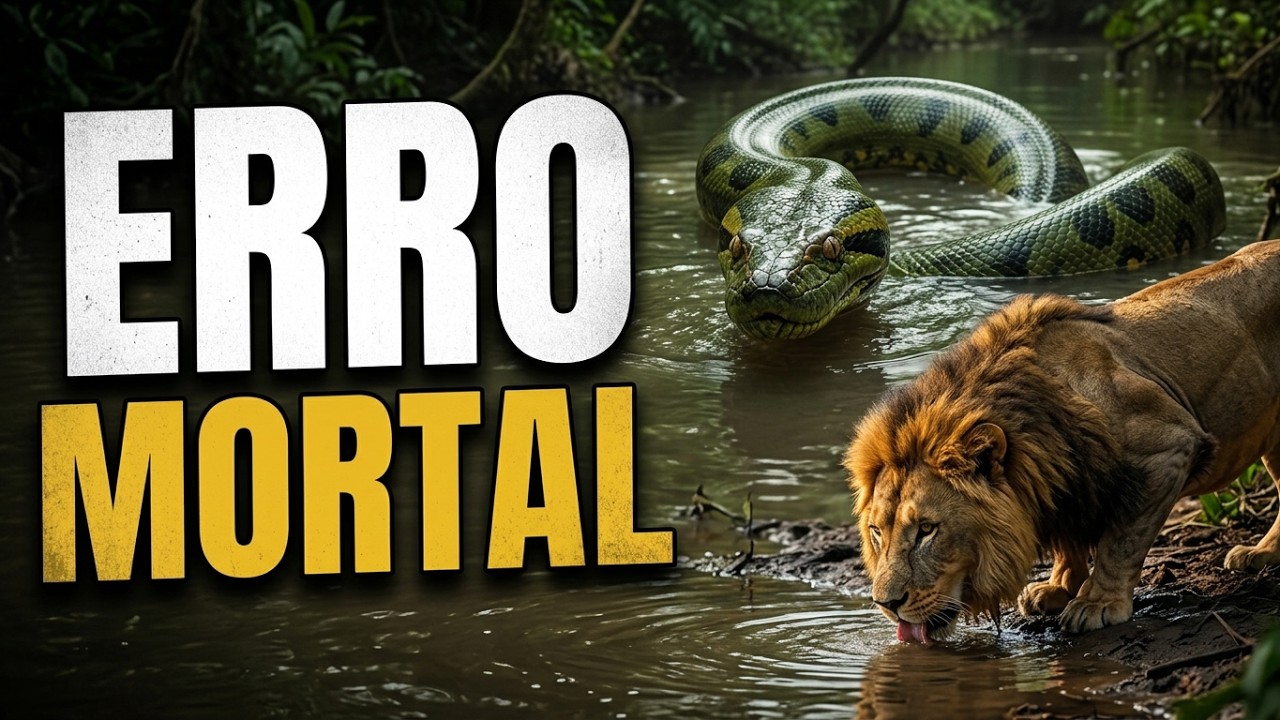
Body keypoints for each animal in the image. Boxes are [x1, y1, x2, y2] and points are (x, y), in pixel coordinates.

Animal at [844, 240, 1280, 641]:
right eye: (876, 532)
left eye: (927, 530)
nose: (886, 604)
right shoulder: (1060, 480)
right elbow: (1069, 540)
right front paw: (1058, 588)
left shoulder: (1169, 447)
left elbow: (1121, 542)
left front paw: (1096, 602)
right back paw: (1263, 554)